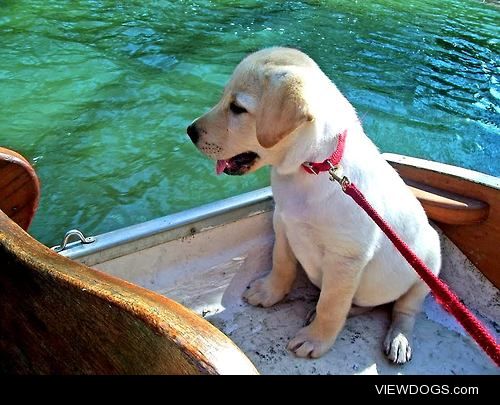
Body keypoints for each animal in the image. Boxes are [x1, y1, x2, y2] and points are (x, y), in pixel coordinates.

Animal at [186, 47, 440, 362]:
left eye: (237, 108)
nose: (190, 131)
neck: (312, 167)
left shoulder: (346, 258)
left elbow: (331, 305)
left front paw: (315, 339)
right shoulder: (283, 221)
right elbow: (281, 263)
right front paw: (270, 292)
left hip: (428, 265)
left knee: (404, 309)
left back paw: (399, 338)